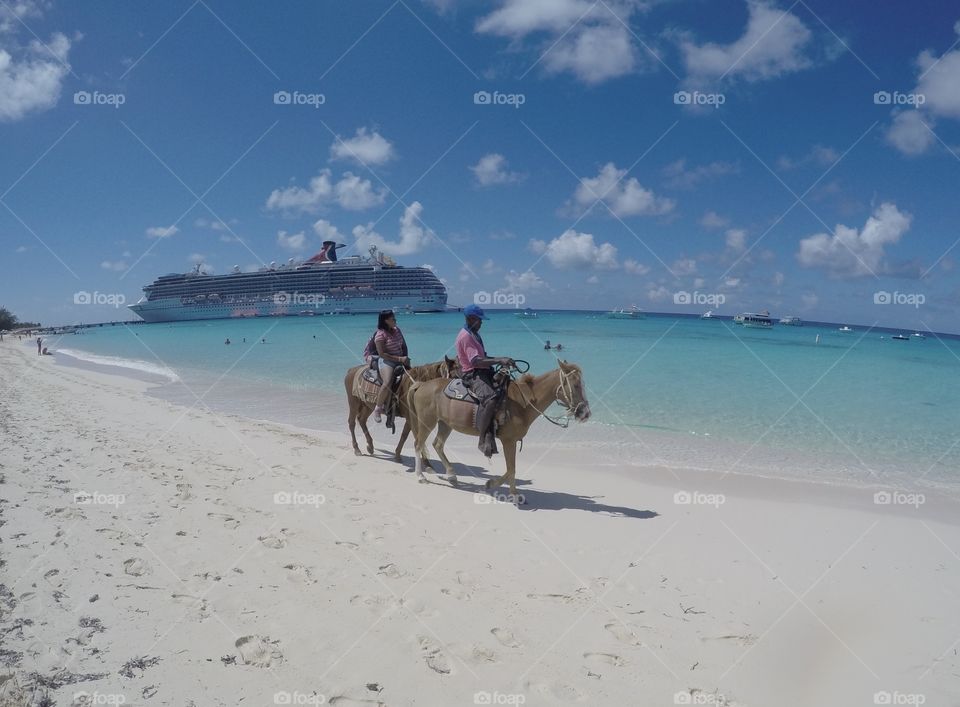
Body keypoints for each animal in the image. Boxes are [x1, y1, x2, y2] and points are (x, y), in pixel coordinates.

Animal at [404, 360, 588, 504]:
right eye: (575, 385)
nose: (585, 413)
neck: (523, 402)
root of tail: (422, 384)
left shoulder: (511, 441)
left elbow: (510, 469)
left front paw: (491, 484)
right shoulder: (509, 441)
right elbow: (511, 469)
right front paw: (513, 495)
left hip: (445, 424)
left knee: (438, 444)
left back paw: (451, 475)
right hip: (427, 422)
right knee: (418, 444)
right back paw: (421, 476)